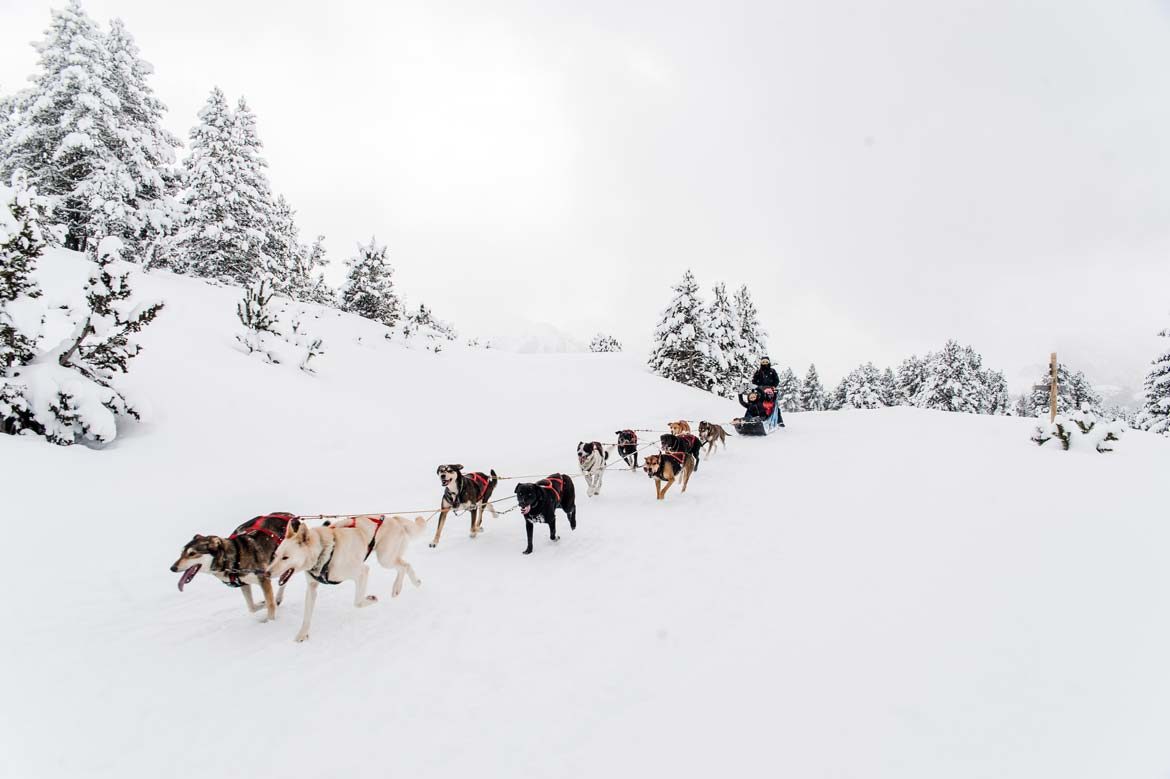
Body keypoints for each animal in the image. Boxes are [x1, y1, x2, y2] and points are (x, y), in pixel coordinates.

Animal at [169, 512, 297, 622]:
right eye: (182, 553)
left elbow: (270, 604)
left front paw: (270, 622)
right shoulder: (244, 584)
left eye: (192, 553)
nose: (172, 568)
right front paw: (264, 604)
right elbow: (252, 607)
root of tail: (291, 516)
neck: (233, 559)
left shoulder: (263, 579)